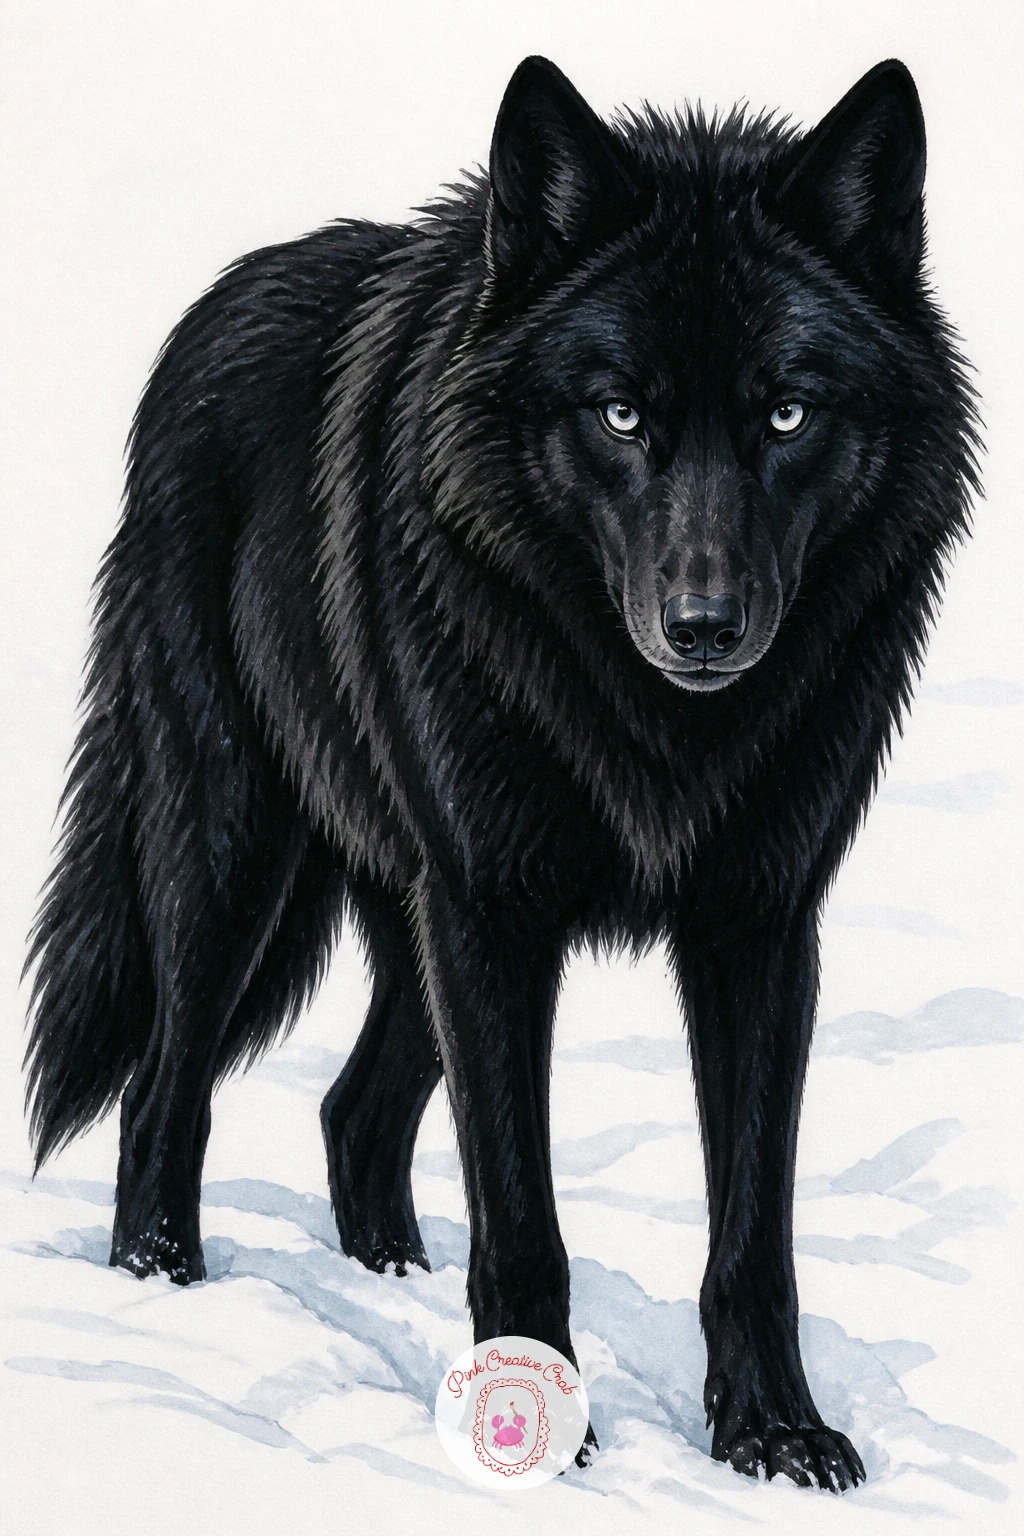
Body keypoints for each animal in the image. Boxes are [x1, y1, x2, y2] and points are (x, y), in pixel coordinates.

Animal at [25, 56, 977, 1489]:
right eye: (620, 413)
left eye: (787, 412)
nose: (704, 629)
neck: (656, 729)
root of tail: (221, 298)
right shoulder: (490, 909)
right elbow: (523, 1219)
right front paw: (539, 1446)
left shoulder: (755, 924)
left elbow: (753, 1233)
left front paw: (771, 1432)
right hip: (238, 852)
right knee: (160, 1086)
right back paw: (165, 1287)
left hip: (411, 915)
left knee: (354, 1113)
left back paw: (392, 1286)